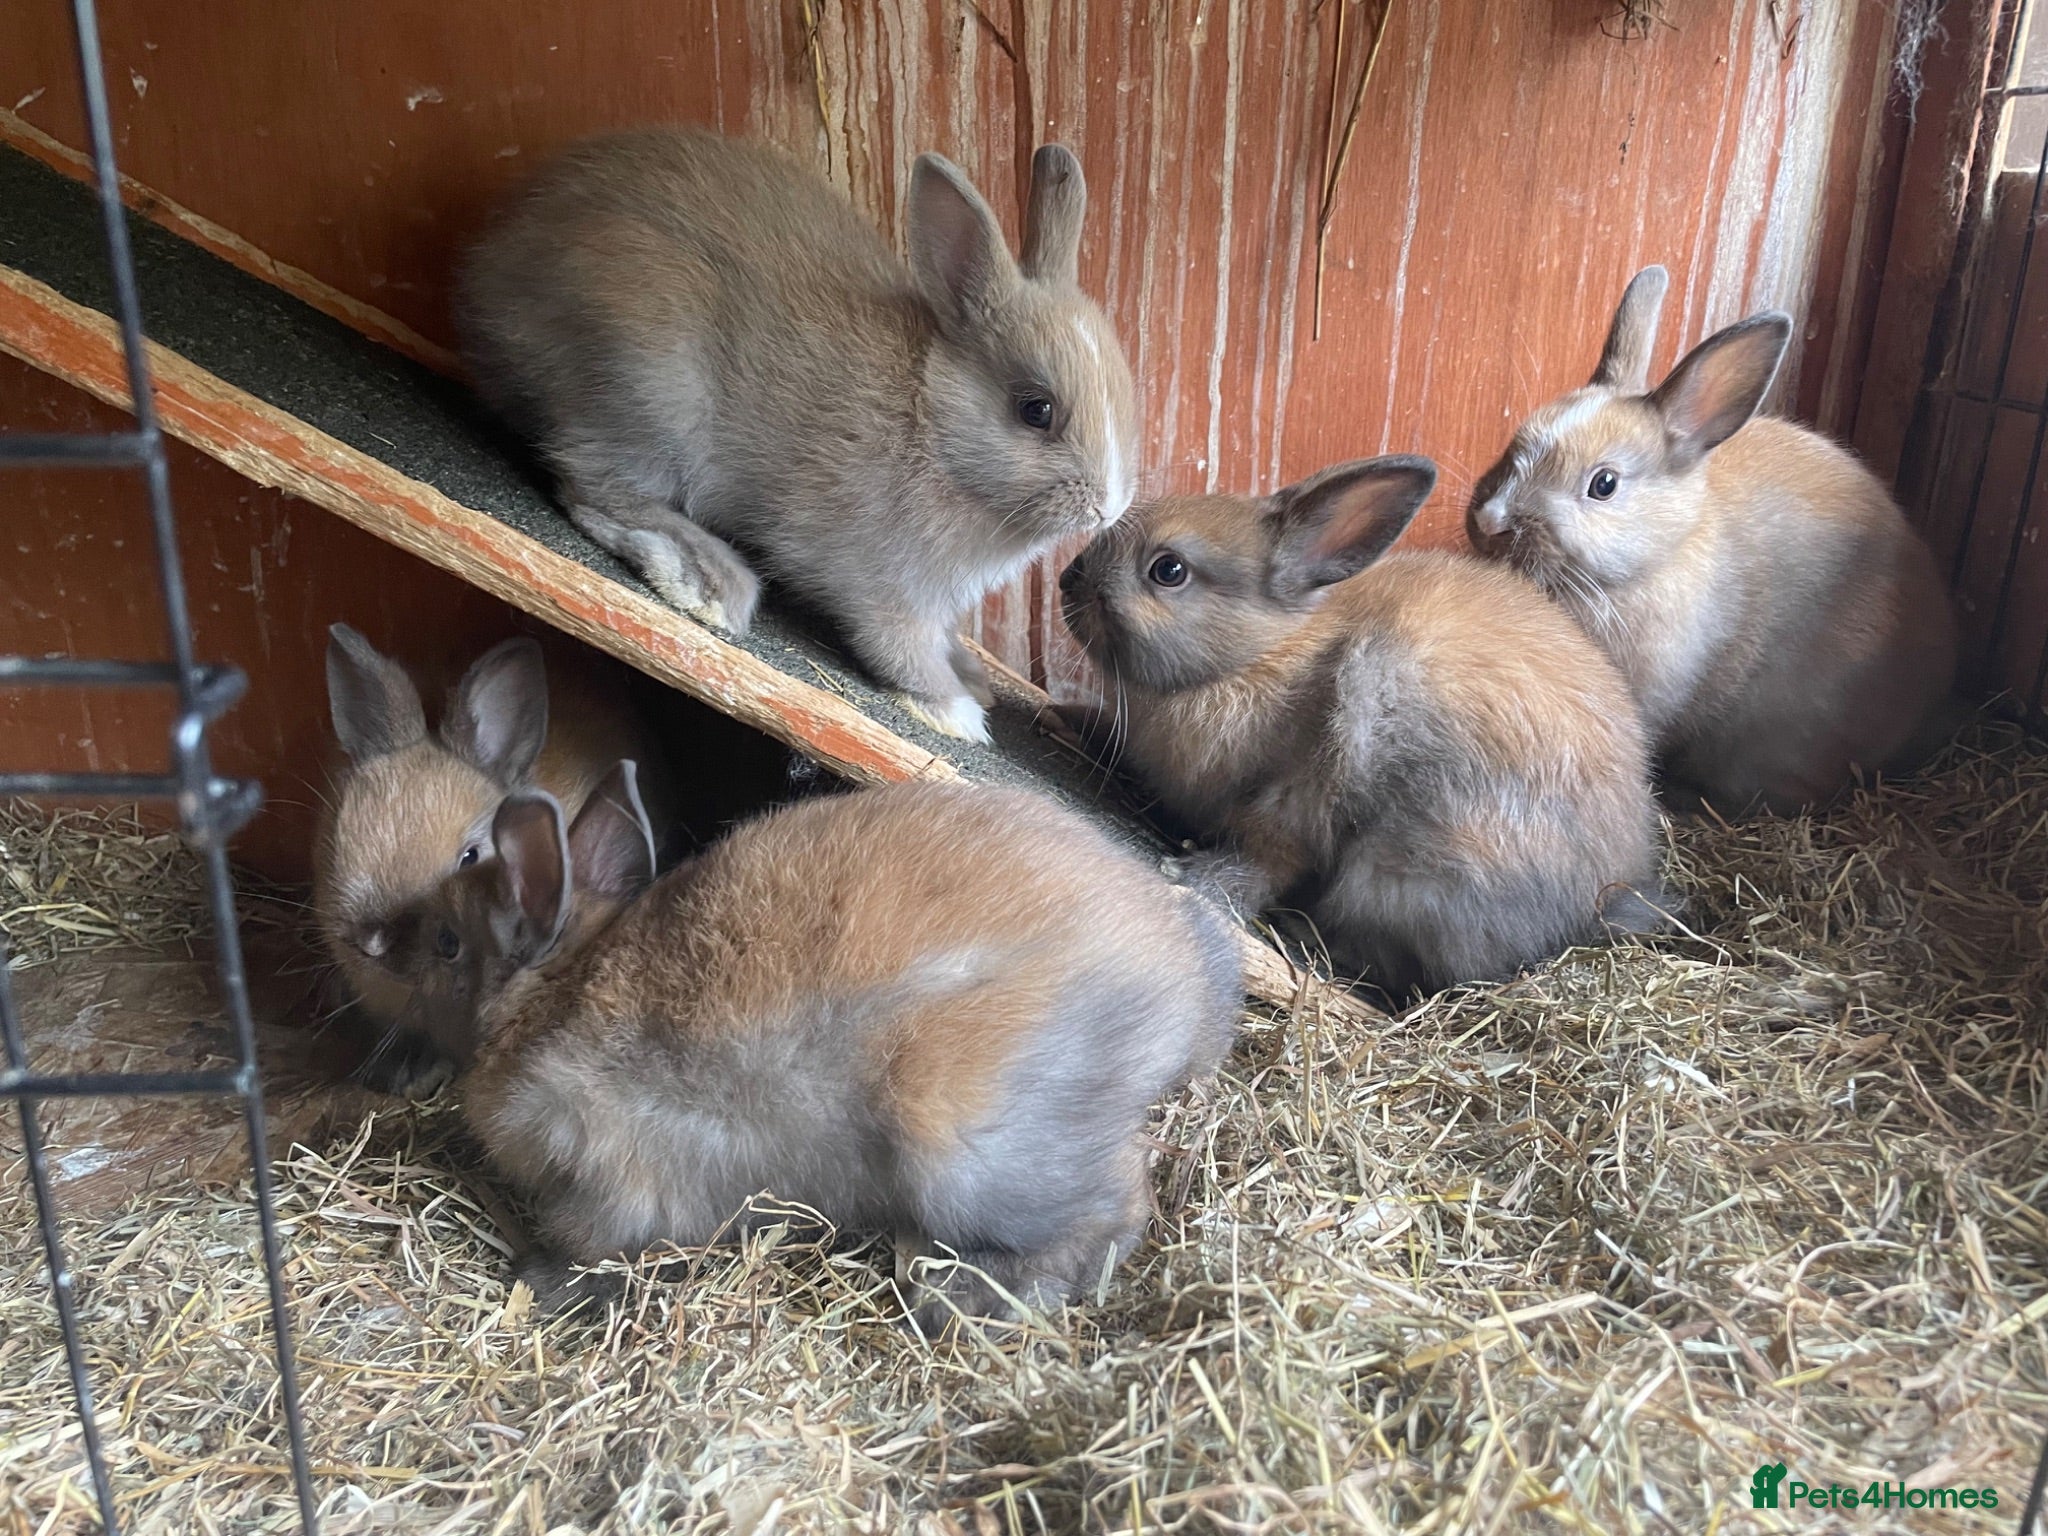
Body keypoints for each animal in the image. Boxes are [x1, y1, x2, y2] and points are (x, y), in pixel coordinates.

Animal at [385, 769, 1242, 1326]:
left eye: (447, 941)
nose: (382, 948)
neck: (557, 991)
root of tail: (1182, 984)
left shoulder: (614, 1179)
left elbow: (593, 1244)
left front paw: (538, 1280)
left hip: (963, 1140)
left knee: (1113, 1216)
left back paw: (958, 1299)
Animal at [456, 127, 1138, 743]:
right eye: (1036, 410)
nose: (1107, 507)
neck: (933, 424)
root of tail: (493, 277)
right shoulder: (889, 592)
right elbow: (904, 652)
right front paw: (957, 712)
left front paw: (972, 675)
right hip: (646, 396)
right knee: (591, 486)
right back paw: (706, 581)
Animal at [1058, 455, 1669, 997]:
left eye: (1168, 570)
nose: (1067, 579)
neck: (1253, 660)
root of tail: (1597, 904)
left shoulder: (1296, 800)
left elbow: (1268, 859)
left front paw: (1193, 876)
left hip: (1392, 876)